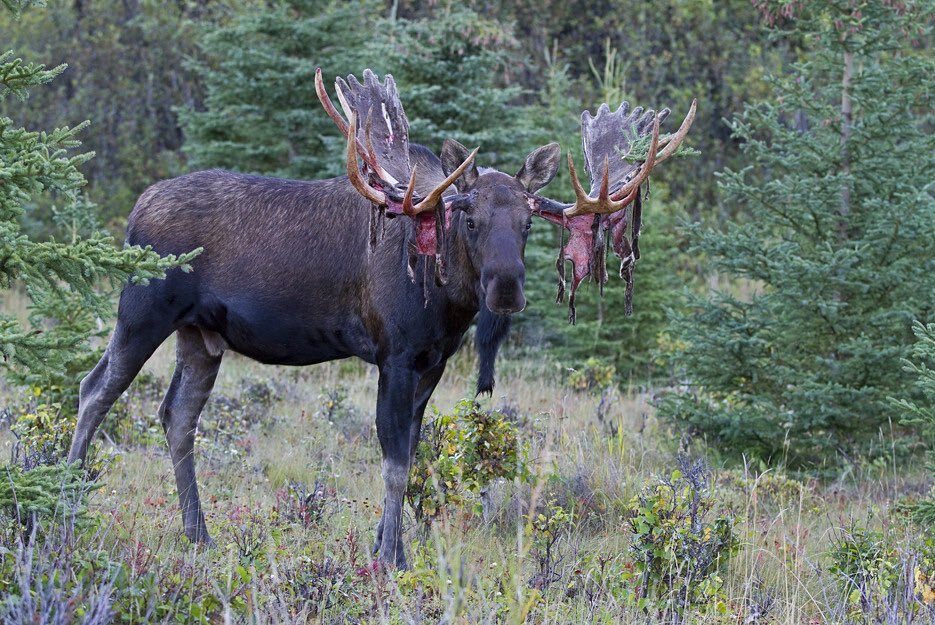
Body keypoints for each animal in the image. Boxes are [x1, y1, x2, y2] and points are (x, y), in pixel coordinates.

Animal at [67, 68, 696, 564]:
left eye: (528, 224)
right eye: (470, 219)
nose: (506, 289)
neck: (447, 304)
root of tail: (134, 211)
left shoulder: (432, 363)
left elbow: (412, 457)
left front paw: (390, 546)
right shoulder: (392, 355)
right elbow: (393, 462)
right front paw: (390, 557)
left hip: (201, 335)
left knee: (177, 416)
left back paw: (198, 535)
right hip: (142, 311)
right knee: (94, 389)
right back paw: (66, 504)